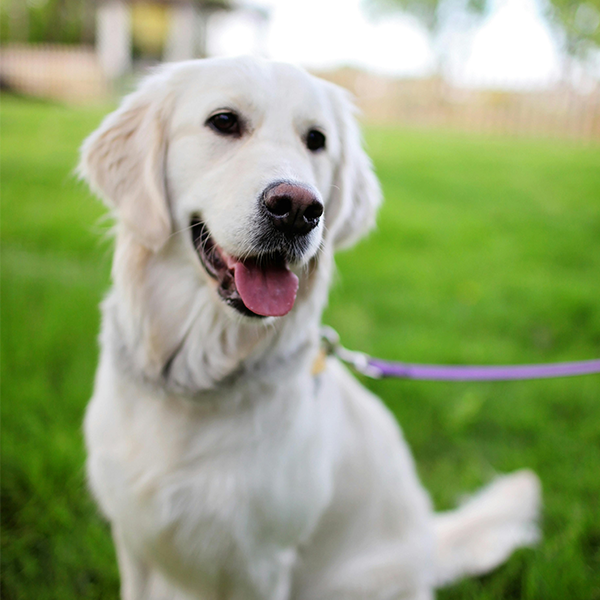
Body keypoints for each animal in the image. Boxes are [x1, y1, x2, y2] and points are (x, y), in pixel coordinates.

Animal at [78, 56, 540, 600]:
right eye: (224, 121)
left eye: (316, 140)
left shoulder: (261, 564)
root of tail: (428, 541)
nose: (298, 208)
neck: (195, 377)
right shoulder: (133, 539)